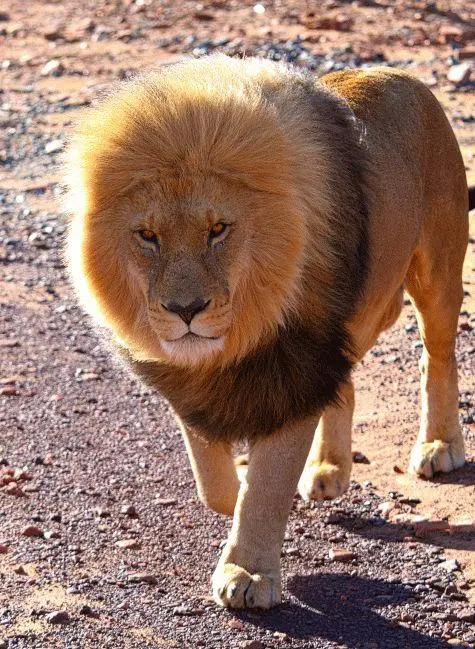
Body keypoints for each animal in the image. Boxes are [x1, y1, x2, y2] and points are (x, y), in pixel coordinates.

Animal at [66, 55, 468, 609]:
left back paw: (439, 446)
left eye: (218, 230)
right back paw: (326, 470)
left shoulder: (296, 371)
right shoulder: (188, 380)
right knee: (344, 385)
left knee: (438, 355)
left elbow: (268, 485)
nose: (185, 310)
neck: (240, 334)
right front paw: (236, 484)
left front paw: (248, 571)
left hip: (437, 267)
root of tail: (391, 73)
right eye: (147, 236)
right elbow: (211, 478)